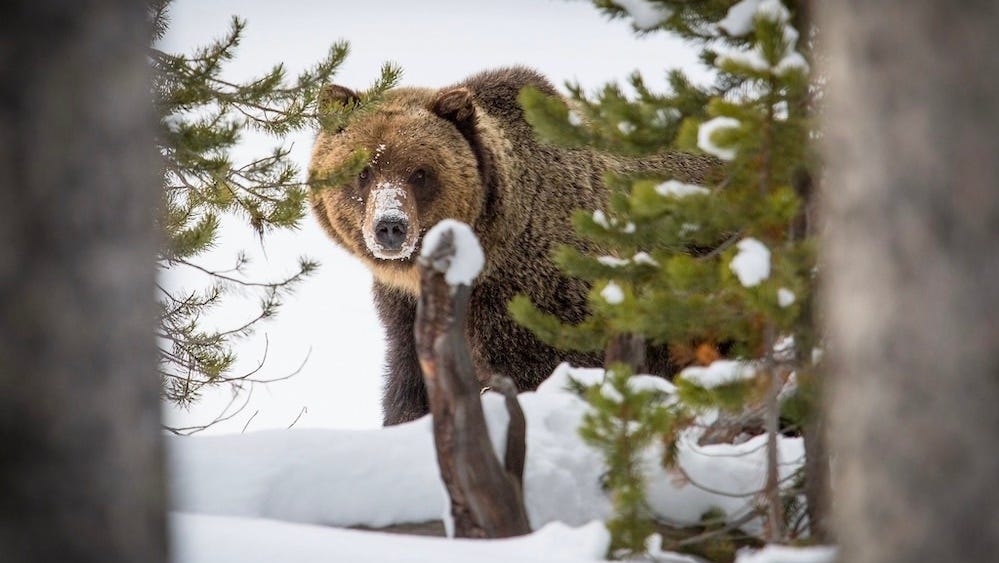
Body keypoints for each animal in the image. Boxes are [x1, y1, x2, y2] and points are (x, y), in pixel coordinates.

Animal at [308, 67, 716, 424]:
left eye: (420, 172)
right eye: (363, 171)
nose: (390, 226)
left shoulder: (534, 298)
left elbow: (534, 373)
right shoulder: (405, 310)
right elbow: (410, 387)